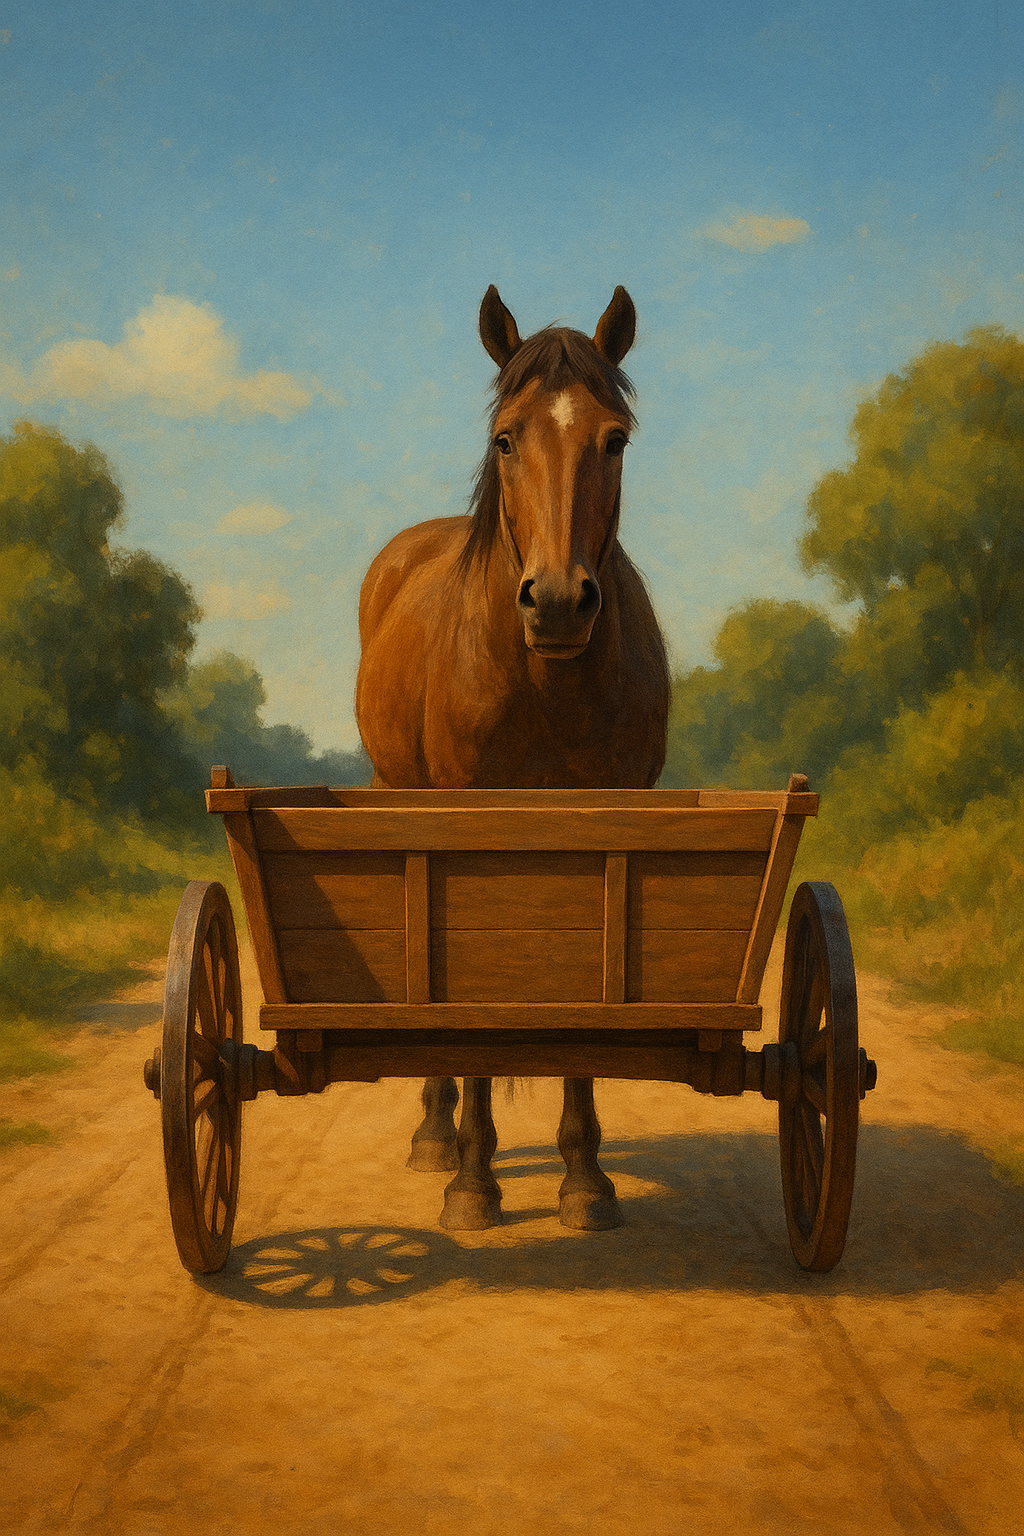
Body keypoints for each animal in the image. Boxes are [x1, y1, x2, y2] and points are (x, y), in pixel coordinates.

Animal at [355, 284, 670, 1231]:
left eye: (615, 439)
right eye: (506, 437)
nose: (560, 602)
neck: (544, 682)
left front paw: (585, 1182)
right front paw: (472, 1182)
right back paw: (436, 1137)